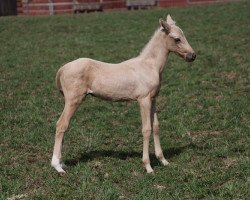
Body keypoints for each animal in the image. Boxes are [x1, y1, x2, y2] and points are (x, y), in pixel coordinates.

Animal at [50, 14, 195, 173]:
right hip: (73, 100)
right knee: (61, 125)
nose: (192, 56)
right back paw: (57, 166)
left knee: (64, 126)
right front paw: (148, 166)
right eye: (177, 39)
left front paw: (163, 161)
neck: (149, 66)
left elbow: (156, 127)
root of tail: (63, 68)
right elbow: (146, 129)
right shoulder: (143, 100)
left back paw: (62, 163)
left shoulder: (153, 99)